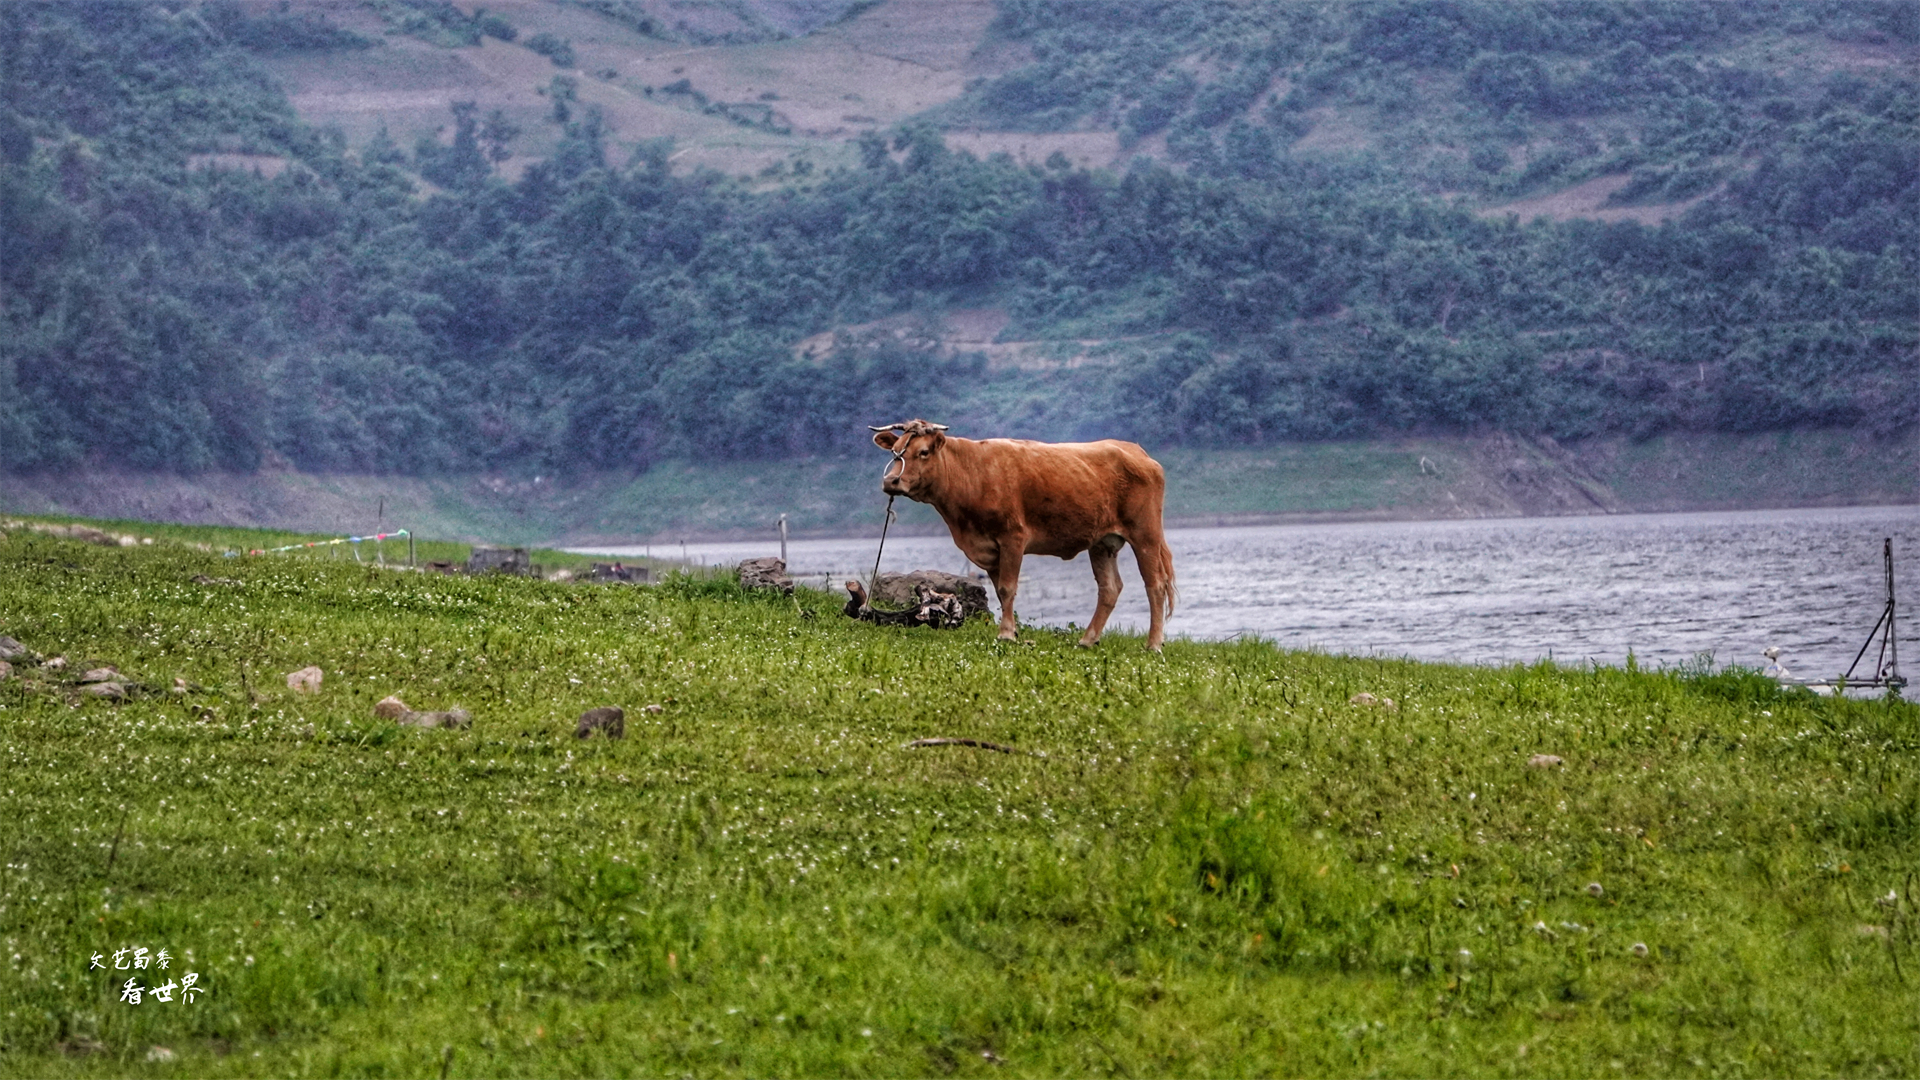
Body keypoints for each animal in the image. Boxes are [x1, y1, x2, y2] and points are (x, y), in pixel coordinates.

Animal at [867, 420, 1167, 645]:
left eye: (923, 452)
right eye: (895, 451)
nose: (891, 481)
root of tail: (1137, 451)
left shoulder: (1013, 537)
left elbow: (1007, 588)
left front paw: (1006, 635)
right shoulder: (987, 547)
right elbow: (1001, 592)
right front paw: (1012, 630)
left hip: (1146, 533)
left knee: (1155, 585)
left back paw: (1153, 644)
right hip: (1102, 542)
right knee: (1109, 588)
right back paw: (1087, 639)